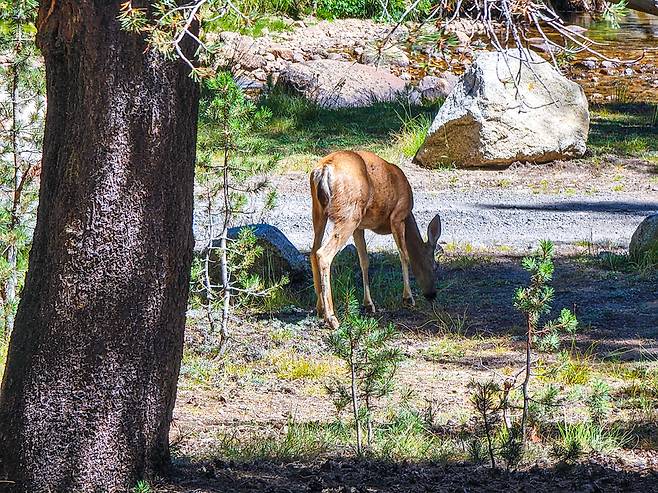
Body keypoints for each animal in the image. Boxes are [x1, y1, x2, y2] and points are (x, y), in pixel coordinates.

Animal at [308, 148, 440, 328]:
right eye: (435, 266)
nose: (432, 294)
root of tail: (324, 169)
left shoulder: (360, 227)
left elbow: (364, 261)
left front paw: (369, 304)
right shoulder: (398, 216)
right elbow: (404, 255)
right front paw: (408, 297)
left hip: (320, 211)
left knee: (313, 251)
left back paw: (320, 308)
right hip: (349, 213)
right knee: (323, 253)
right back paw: (332, 318)